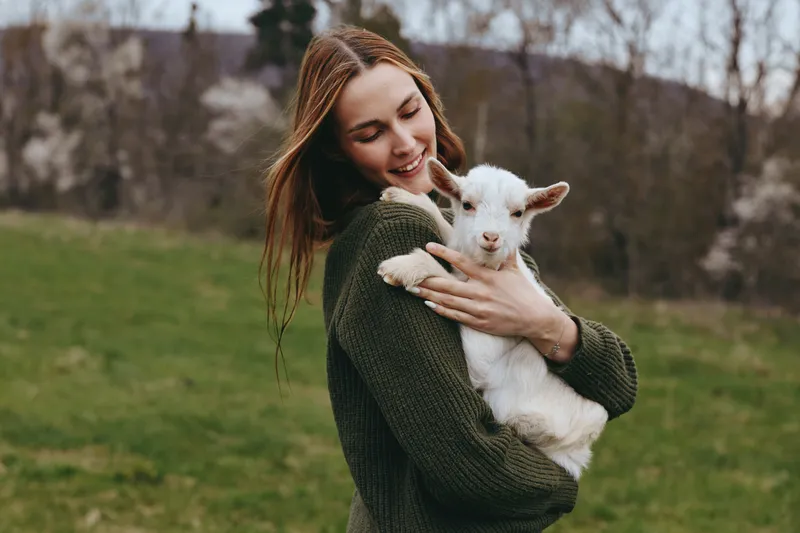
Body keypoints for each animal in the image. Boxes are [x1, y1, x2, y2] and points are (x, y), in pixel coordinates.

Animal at [376, 157, 608, 479]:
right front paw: (405, 197)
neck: (488, 269)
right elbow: (450, 238)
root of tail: (576, 453)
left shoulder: (481, 353)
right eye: (467, 204)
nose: (491, 237)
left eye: (518, 212)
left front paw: (405, 266)